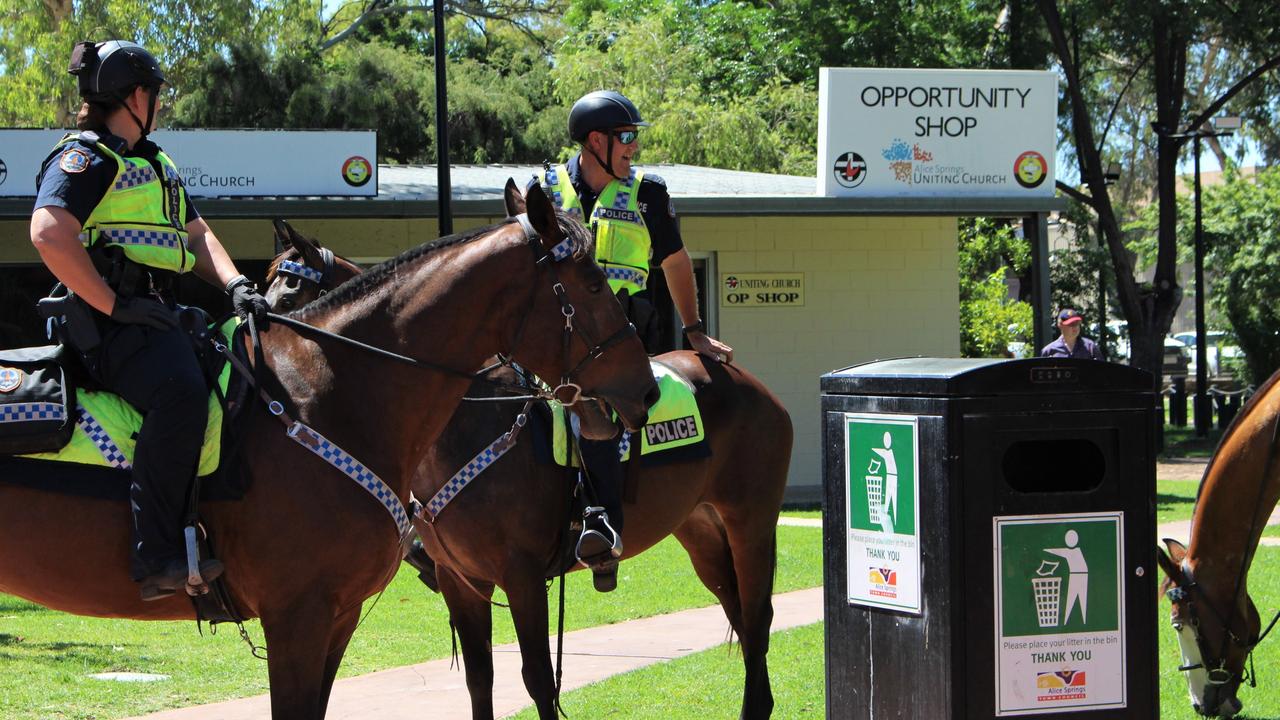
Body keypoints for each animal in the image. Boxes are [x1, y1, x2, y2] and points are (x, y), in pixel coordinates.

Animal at [0, 185, 655, 717]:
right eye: (592, 283)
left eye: (291, 285)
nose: (645, 388)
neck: (332, 394)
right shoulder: (301, 616)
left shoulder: (344, 614)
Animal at [266, 189, 793, 717]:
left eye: (288, 298)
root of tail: (749, 383)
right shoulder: (460, 580)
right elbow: (479, 678)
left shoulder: (522, 577)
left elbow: (539, 679)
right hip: (701, 531)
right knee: (740, 615)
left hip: (750, 524)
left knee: (758, 619)